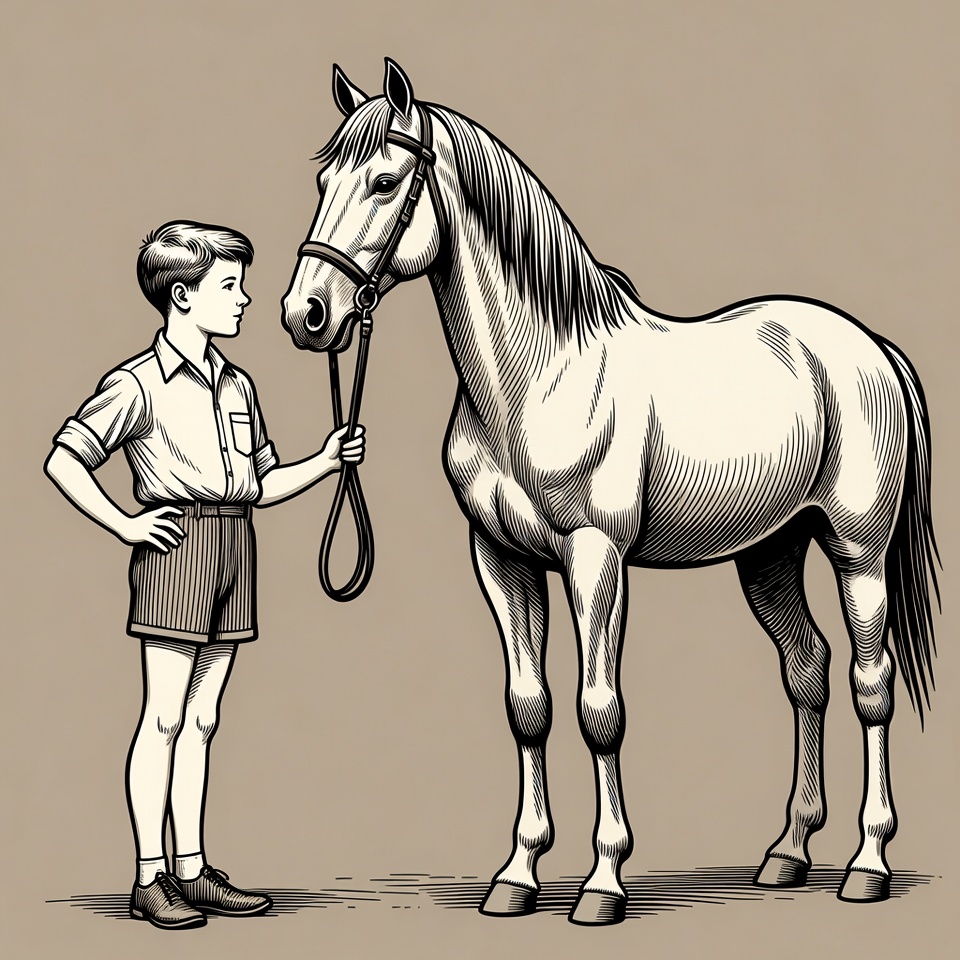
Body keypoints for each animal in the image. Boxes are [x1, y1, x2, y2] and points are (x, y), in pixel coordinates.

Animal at [280, 59, 939, 925]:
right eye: (324, 180)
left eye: (386, 182)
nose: (306, 315)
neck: (540, 375)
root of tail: (867, 346)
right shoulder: (500, 560)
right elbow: (528, 706)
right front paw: (517, 876)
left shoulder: (596, 560)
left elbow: (600, 712)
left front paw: (602, 883)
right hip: (769, 554)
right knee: (807, 669)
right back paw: (788, 854)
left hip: (857, 551)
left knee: (870, 683)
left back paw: (867, 863)